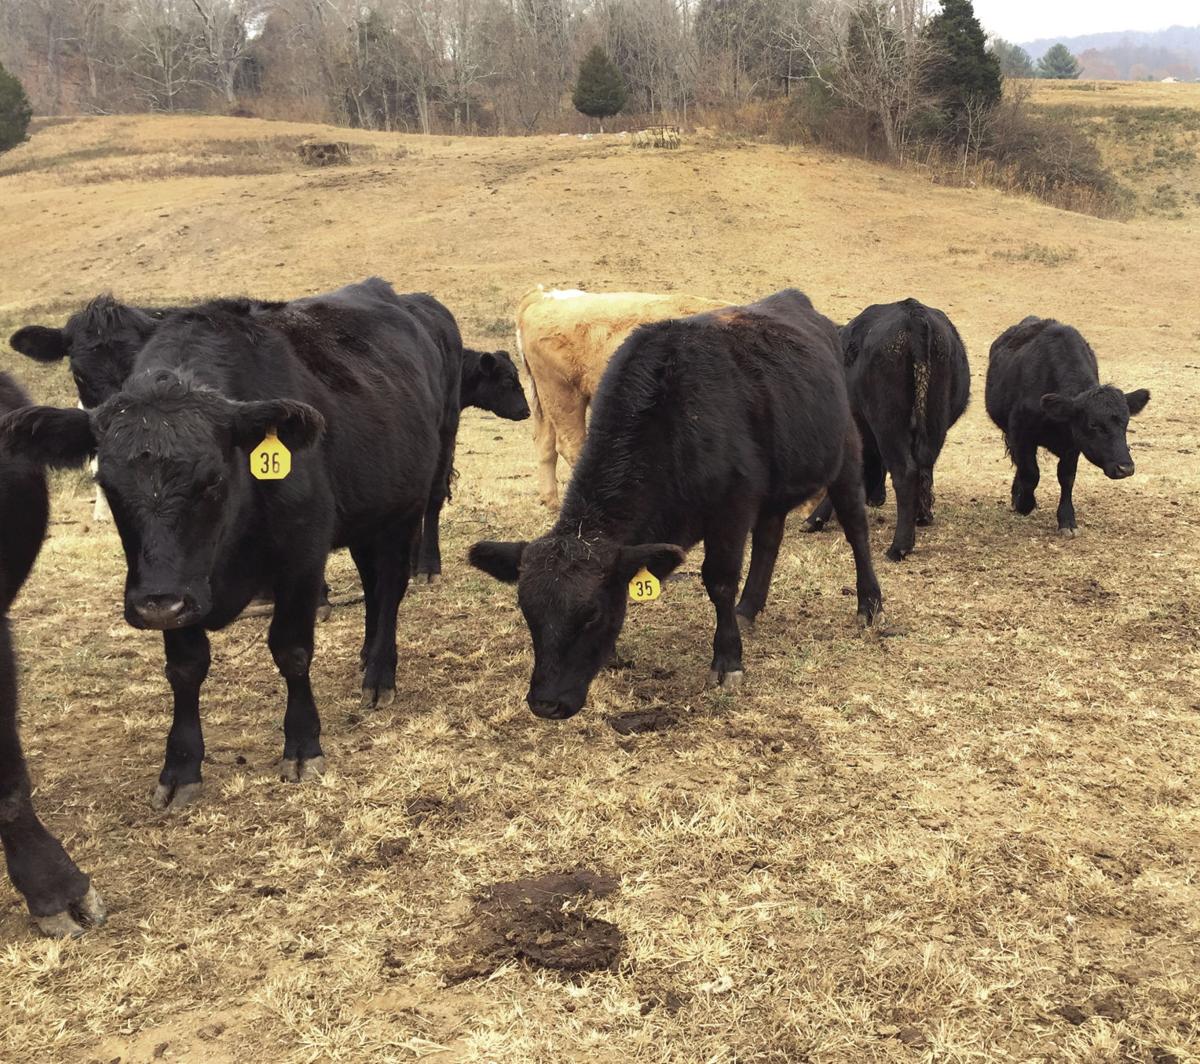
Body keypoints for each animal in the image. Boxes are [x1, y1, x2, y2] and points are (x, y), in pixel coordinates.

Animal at [0, 279, 455, 809]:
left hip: (404, 509)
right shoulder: (173, 584)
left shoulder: (301, 558)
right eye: (108, 485)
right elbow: (185, 667)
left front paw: (303, 746)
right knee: (372, 585)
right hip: (366, 515)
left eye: (213, 479)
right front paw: (180, 768)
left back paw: (380, 674)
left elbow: (292, 650)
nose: (157, 606)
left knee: (389, 590)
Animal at [515, 287, 728, 508]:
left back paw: (551, 502)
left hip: (548, 400)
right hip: (564, 396)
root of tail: (543, 296)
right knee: (570, 446)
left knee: (545, 443)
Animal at [803, 299, 971, 560]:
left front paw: (816, 518)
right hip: (935, 422)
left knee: (906, 472)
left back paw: (898, 547)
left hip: (888, 424)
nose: (876, 499)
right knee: (924, 465)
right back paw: (920, 518)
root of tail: (913, 314)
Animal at [985, 317, 1150, 535]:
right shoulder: (1021, 435)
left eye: (1126, 422)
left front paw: (1067, 520)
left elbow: (1067, 477)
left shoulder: (1073, 445)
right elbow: (1030, 473)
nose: (1125, 468)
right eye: (1094, 424)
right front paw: (1024, 504)